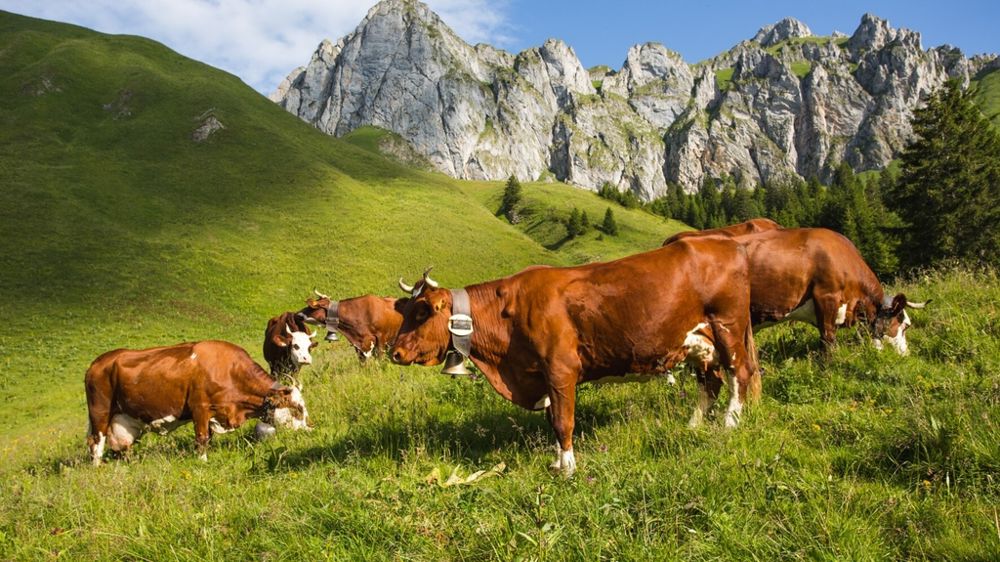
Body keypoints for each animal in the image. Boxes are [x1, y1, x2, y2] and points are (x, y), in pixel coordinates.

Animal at [85, 340, 310, 465]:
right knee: (96, 443)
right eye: (297, 410)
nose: (310, 429)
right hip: (99, 412)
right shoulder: (200, 408)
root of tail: (97, 362)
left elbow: (208, 438)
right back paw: (97, 468)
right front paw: (203, 462)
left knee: (121, 446)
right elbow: (202, 438)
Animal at [391, 238, 760, 477]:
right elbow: (551, 419)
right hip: (700, 343)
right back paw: (693, 425)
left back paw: (729, 423)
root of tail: (725, 244)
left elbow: (562, 421)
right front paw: (557, 462)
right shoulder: (541, 375)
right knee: (711, 382)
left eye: (422, 312)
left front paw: (567, 468)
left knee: (739, 373)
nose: (395, 352)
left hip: (727, 327)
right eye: (405, 310)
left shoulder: (560, 370)